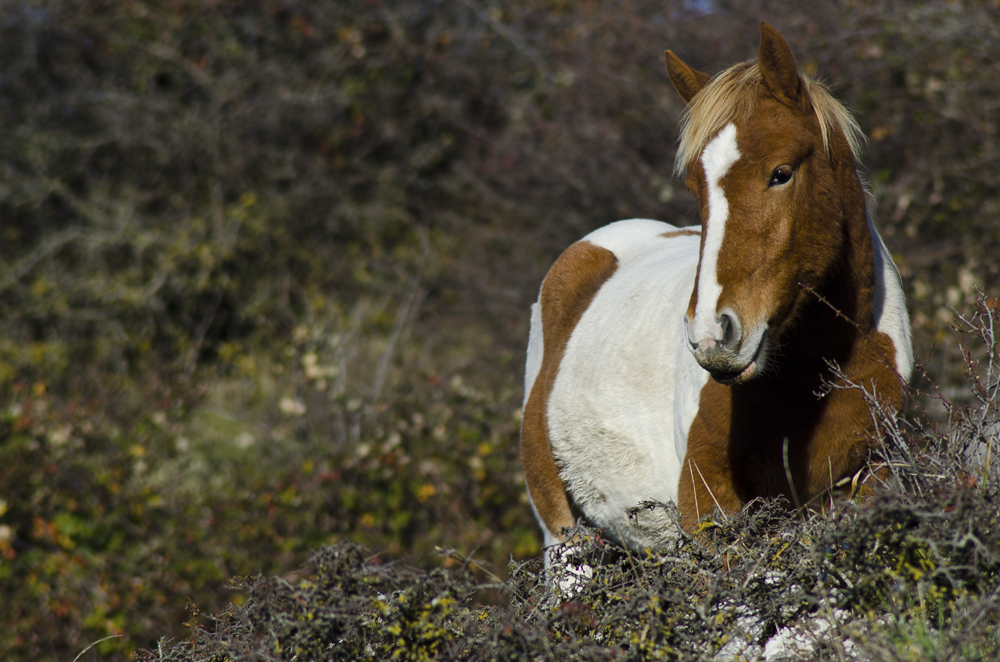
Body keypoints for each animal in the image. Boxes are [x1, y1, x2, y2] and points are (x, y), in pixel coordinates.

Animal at [524, 23, 916, 580]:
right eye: (697, 188)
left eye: (781, 172)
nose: (713, 335)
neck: (807, 379)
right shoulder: (710, 506)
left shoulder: (866, 485)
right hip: (565, 540)